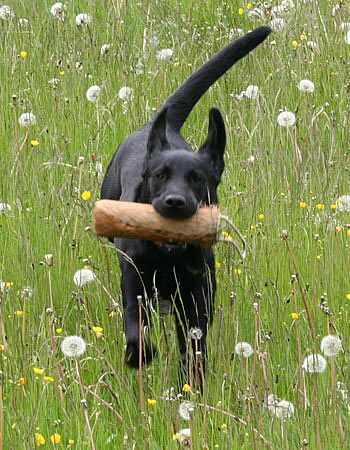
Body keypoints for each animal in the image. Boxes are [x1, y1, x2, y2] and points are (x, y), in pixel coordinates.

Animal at [101, 26, 270, 378]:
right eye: (159, 175)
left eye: (197, 178)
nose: (175, 202)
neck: (167, 257)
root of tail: (162, 126)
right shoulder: (134, 287)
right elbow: (136, 326)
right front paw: (140, 353)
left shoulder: (196, 302)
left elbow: (193, 349)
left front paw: (191, 382)